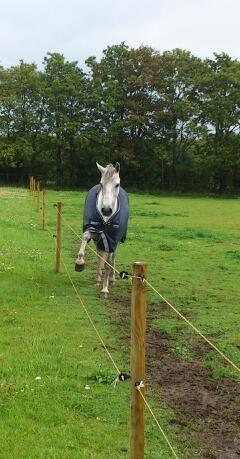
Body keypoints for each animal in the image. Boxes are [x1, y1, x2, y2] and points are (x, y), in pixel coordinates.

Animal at [75, 164, 128, 300]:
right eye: (101, 184)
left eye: (117, 184)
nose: (106, 210)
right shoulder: (94, 231)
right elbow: (85, 237)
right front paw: (79, 263)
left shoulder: (112, 240)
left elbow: (109, 262)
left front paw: (105, 289)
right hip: (98, 238)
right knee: (99, 254)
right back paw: (98, 279)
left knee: (113, 257)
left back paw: (112, 279)